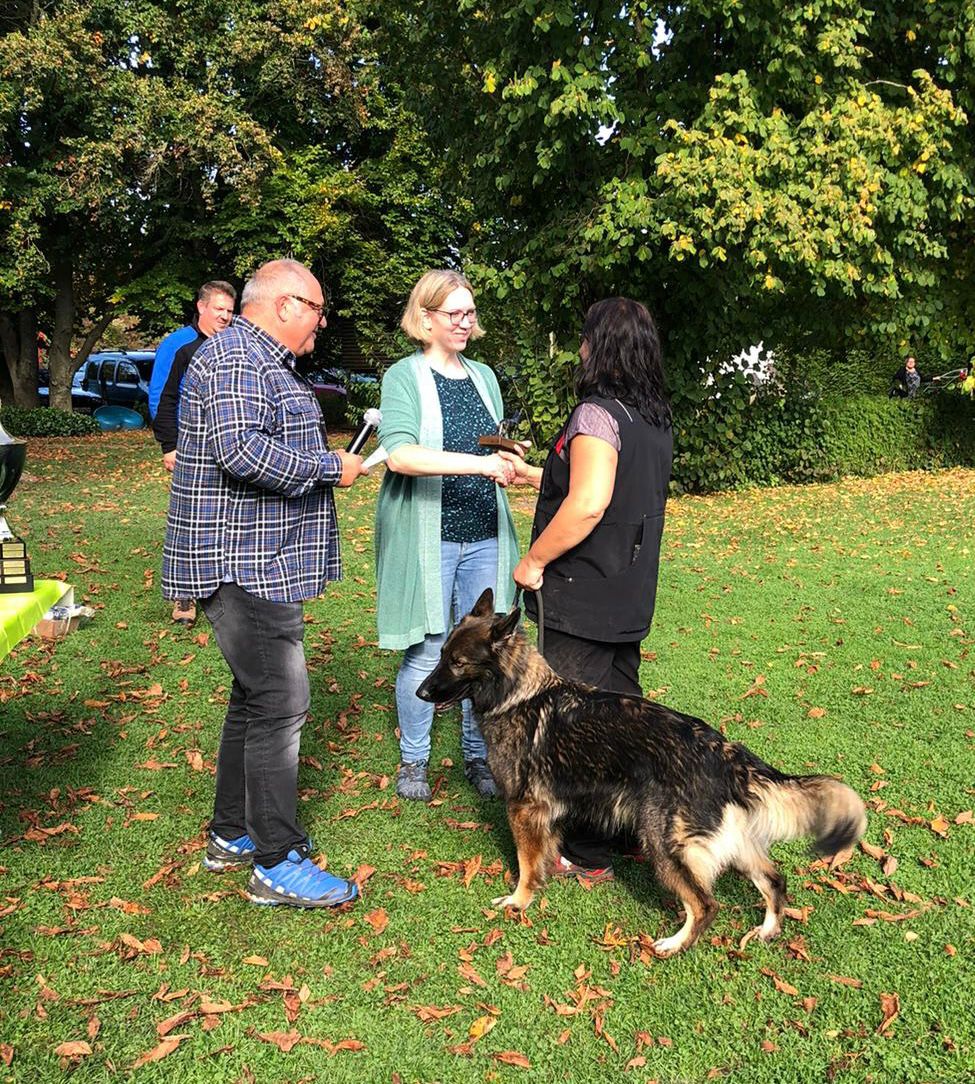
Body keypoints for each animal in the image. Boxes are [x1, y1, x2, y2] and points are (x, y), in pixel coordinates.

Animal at [416, 588, 867, 956]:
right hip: (732, 843)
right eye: (441, 655)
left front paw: (518, 901)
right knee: (774, 879)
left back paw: (675, 944)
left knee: (706, 904)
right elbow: (542, 855)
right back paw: (767, 930)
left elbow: (526, 864)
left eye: (458, 663)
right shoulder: (546, 813)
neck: (518, 695)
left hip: (664, 844)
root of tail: (725, 751)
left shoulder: (523, 809)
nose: (420, 693)